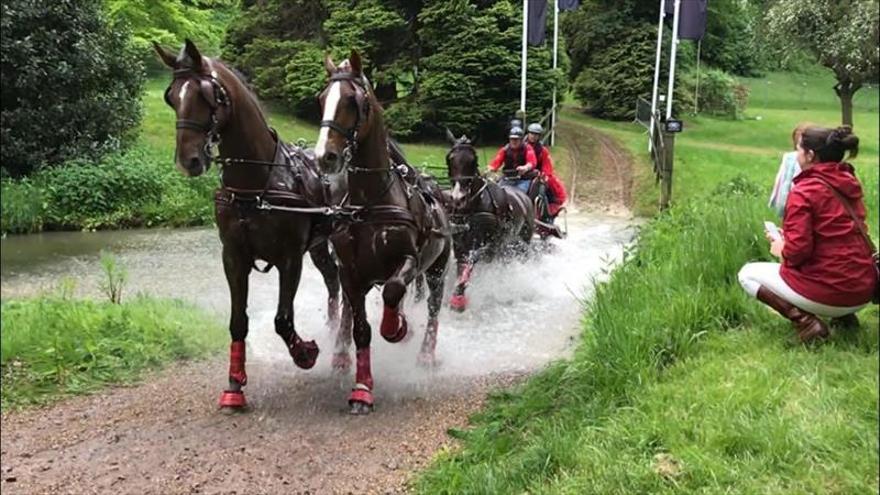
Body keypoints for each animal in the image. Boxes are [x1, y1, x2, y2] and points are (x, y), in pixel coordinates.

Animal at [154, 40, 340, 408]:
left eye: (208, 95)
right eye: (172, 97)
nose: (188, 161)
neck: (256, 183)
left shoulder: (289, 258)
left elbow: (282, 320)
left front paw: (304, 353)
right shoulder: (234, 256)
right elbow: (238, 321)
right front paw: (234, 385)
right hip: (318, 245)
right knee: (333, 279)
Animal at [314, 51, 450, 414]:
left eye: (353, 101)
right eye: (321, 99)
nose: (324, 156)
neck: (370, 201)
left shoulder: (409, 260)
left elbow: (392, 291)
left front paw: (396, 329)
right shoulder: (350, 272)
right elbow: (361, 329)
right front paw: (362, 388)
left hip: (437, 268)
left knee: (433, 307)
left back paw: (425, 353)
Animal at [444, 130, 532, 312]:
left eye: (473, 160)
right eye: (450, 158)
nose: (458, 198)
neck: (472, 207)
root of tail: (524, 197)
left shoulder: (487, 245)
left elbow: (471, 263)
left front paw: (458, 299)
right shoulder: (460, 245)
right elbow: (461, 267)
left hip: (520, 241)